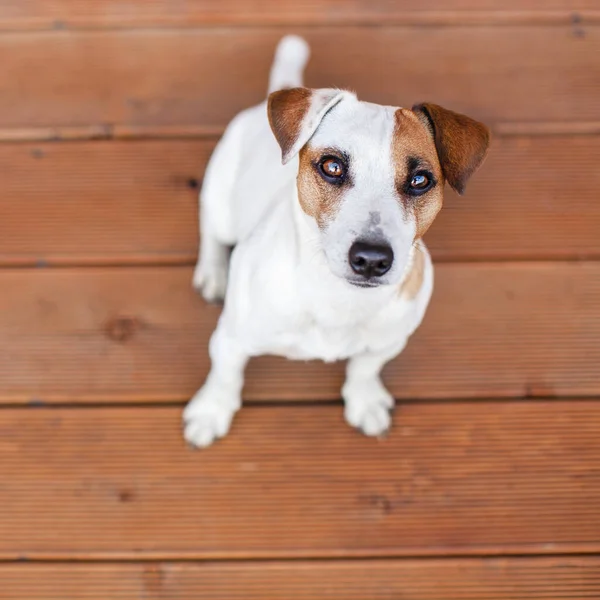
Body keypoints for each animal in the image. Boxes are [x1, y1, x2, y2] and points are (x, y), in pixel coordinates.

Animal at [185, 32, 490, 446]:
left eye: (420, 180)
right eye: (332, 166)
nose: (372, 259)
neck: (336, 296)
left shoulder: (387, 343)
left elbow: (364, 369)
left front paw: (364, 401)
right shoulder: (231, 339)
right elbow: (224, 376)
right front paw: (211, 412)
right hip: (221, 205)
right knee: (211, 232)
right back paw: (213, 273)